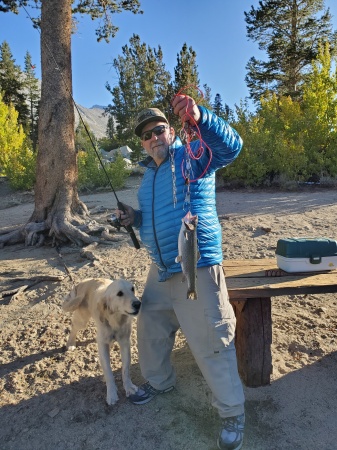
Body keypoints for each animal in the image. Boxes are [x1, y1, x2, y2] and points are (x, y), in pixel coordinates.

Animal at [62, 276, 140, 406]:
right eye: (119, 293)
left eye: (132, 289)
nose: (138, 304)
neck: (115, 320)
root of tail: (83, 282)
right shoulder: (103, 346)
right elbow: (108, 372)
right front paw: (112, 394)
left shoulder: (125, 343)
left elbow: (126, 369)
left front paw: (128, 387)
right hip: (82, 320)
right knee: (74, 328)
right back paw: (71, 343)